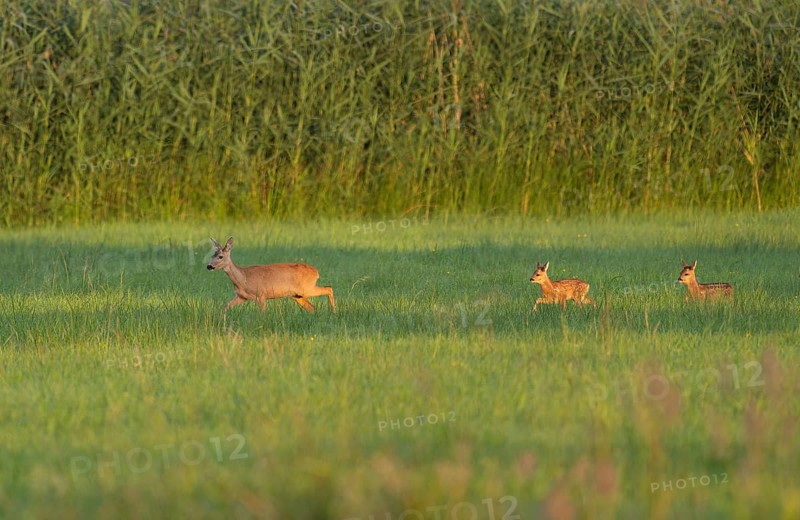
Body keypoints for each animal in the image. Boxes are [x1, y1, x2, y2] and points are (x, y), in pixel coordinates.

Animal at [206, 237, 335, 314]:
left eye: (220, 256)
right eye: (212, 255)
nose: (209, 266)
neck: (244, 279)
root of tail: (316, 272)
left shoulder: (261, 294)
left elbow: (263, 313)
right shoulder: (242, 297)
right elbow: (225, 307)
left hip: (306, 288)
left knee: (329, 288)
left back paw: (334, 312)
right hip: (297, 295)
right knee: (312, 307)